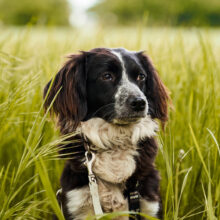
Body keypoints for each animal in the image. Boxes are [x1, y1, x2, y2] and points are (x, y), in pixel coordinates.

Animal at [43, 47, 170, 219]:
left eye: (141, 76)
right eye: (107, 76)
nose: (140, 102)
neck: (116, 141)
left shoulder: (148, 203)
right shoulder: (76, 202)